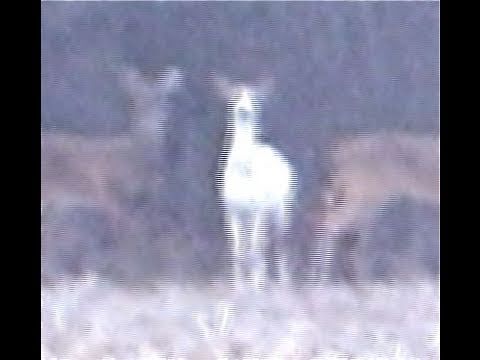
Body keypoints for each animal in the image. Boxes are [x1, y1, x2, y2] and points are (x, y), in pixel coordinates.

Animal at [214, 75, 296, 290]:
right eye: (234, 97)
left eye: (254, 98)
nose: (244, 108)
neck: (244, 174)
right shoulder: (231, 210)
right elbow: (237, 249)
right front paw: (238, 287)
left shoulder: (258, 209)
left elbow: (253, 247)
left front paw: (255, 286)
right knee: (261, 243)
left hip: (282, 209)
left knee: (278, 242)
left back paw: (282, 283)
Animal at [312, 132, 438, 284]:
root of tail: (339, 150)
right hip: (360, 197)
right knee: (328, 223)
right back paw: (319, 278)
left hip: (362, 201)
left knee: (345, 234)